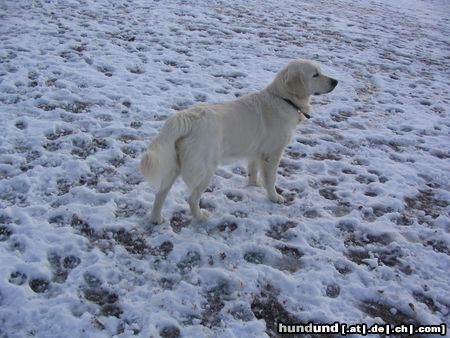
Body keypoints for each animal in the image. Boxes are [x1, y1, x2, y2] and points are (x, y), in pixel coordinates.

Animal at [142, 60, 338, 224]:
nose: (335, 81)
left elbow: (253, 170)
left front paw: (253, 184)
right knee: (191, 198)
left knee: (160, 193)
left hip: (174, 165)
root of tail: (186, 116)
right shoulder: (272, 154)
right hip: (206, 169)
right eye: (315, 75)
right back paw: (200, 217)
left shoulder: (256, 151)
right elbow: (271, 179)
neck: (284, 99)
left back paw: (156, 219)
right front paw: (274, 197)